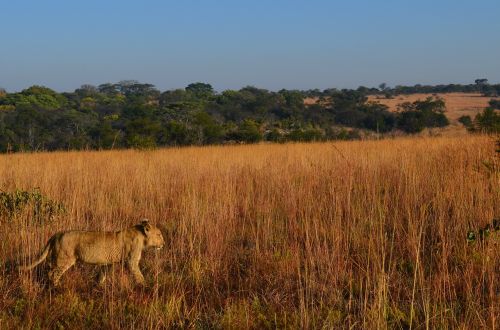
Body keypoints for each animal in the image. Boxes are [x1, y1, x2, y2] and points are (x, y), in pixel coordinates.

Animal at [18, 219, 164, 286]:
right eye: (159, 234)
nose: (163, 244)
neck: (142, 237)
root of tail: (56, 234)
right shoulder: (131, 262)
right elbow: (139, 275)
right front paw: (145, 286)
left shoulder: (107, 263)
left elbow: (102, 275)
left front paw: (98, 286)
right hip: (64, 259)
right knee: (53, 273)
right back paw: (56, 287)